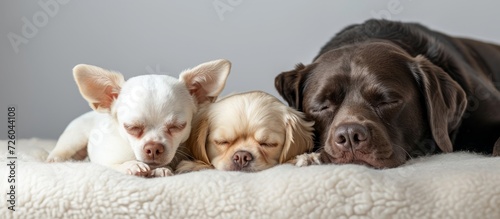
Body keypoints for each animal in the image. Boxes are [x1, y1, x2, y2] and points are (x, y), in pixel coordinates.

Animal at [47, 59, 230, 177]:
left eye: (178, 126)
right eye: (131, 127)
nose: (154, 148)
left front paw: (160, 169)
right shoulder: (102, 156)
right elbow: (115, 164)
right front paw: (132, 165)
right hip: (75, 138)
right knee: (63, 149)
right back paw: (55, 158)